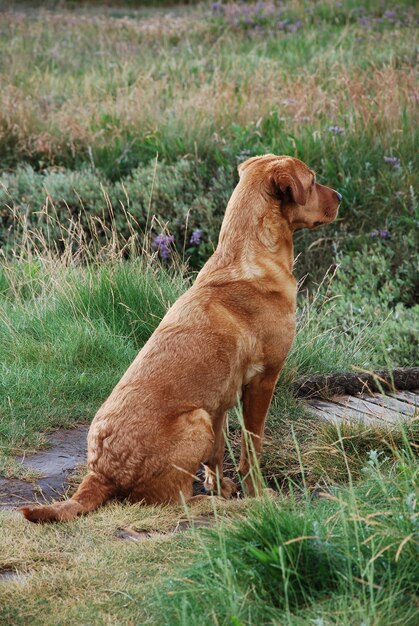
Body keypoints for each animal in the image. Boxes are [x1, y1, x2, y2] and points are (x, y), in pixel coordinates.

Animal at [20, 154, 342, 520]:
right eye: (313, 181)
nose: (340, 196)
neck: (247, 255)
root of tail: (101, 474)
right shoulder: (263, 381)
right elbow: (251, 449)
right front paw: (258, 494)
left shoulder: (220, 400)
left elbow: (217, 452)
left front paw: (220, 484)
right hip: (195, 420)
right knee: (175, 502)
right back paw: (216, 504)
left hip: (203, 416)